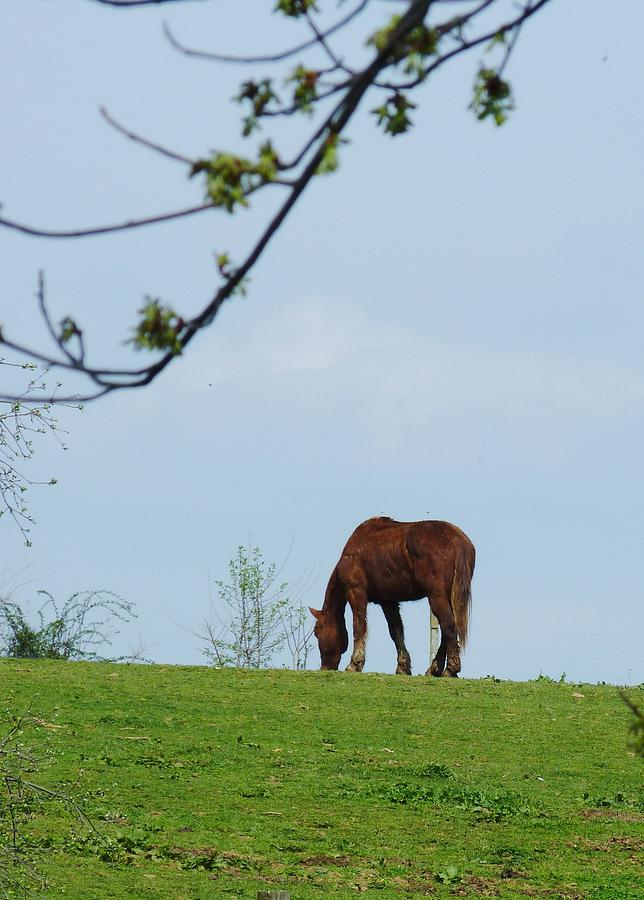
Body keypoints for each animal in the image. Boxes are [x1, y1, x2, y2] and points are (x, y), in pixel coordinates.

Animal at [310, 516, 476, 680]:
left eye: (317, 631)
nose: (325, 667)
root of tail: (457, 541)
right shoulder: (388, 601)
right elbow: (396, 631)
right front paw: (402, 666)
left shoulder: (356, 592)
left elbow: (359, 627)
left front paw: (355, 663)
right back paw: (435, 668)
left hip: (437, 596)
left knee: (448, 626)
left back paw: (450, 669)